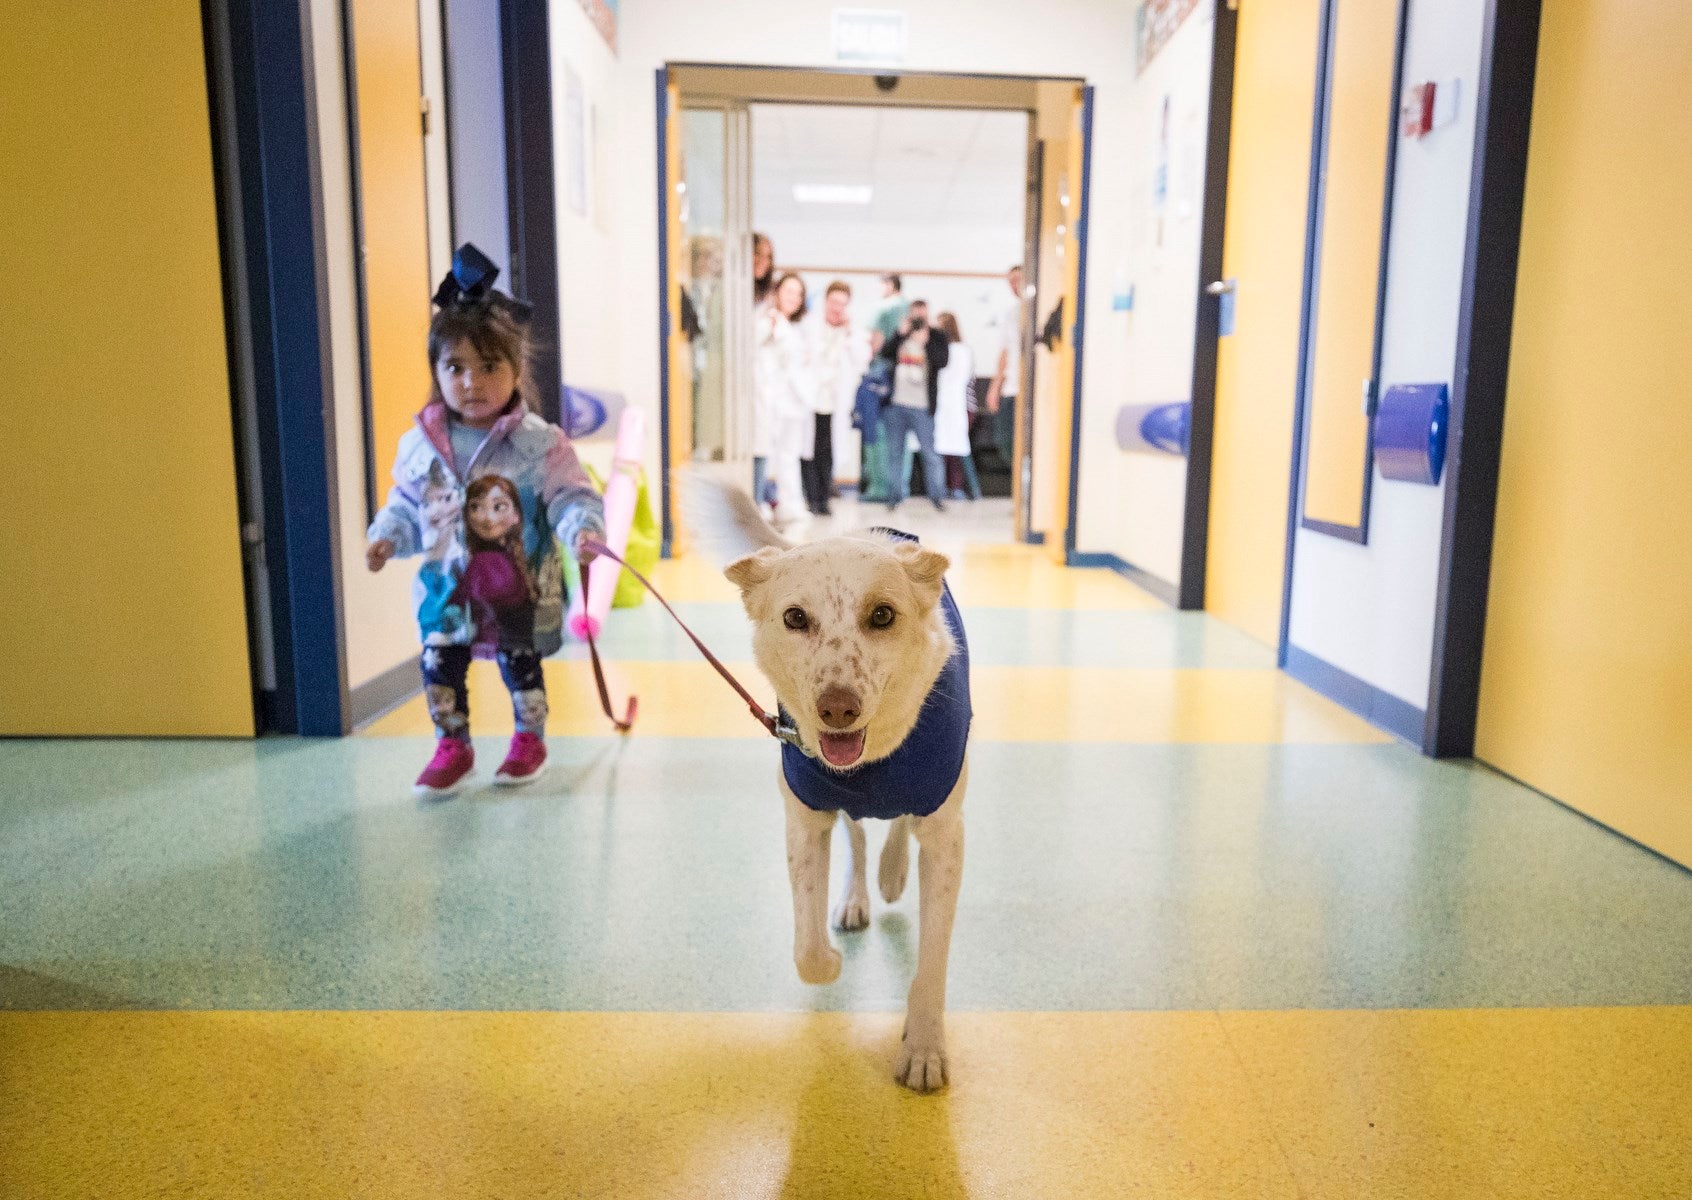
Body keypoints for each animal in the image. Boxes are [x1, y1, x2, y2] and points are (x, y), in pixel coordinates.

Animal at [683, 473, 967, 1083]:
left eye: (882, 615)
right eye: (795, 618)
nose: (837, 709)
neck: (873, 759)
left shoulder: (945, 835)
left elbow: (932, 964)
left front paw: (923, 1048)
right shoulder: (806, 821)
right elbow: (808, 953)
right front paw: (831, 961)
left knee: (893, 829)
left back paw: (890, 875)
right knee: (858, 837)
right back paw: (859, 896)